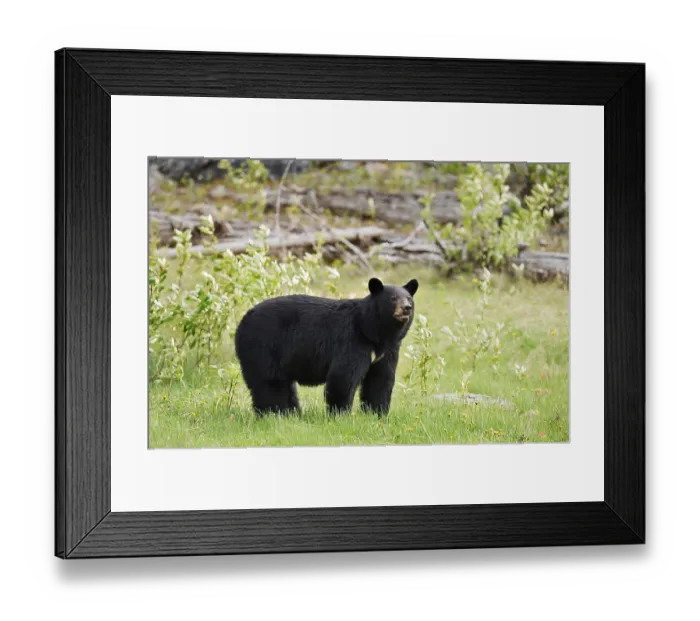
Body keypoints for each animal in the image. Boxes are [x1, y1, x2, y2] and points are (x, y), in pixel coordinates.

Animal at [234, 277, 419, 417]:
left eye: (409, 299)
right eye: (393, 298)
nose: (407, 308)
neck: (374, 330)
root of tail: (242, 322)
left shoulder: (387, 351)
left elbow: (380, 379)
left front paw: (377, 414)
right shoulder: (352, 340)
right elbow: (343, 376)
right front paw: (340, 414)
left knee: (284, 384)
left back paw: (291, 414)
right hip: (263, 346)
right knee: (269, 382)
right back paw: (274, 413)